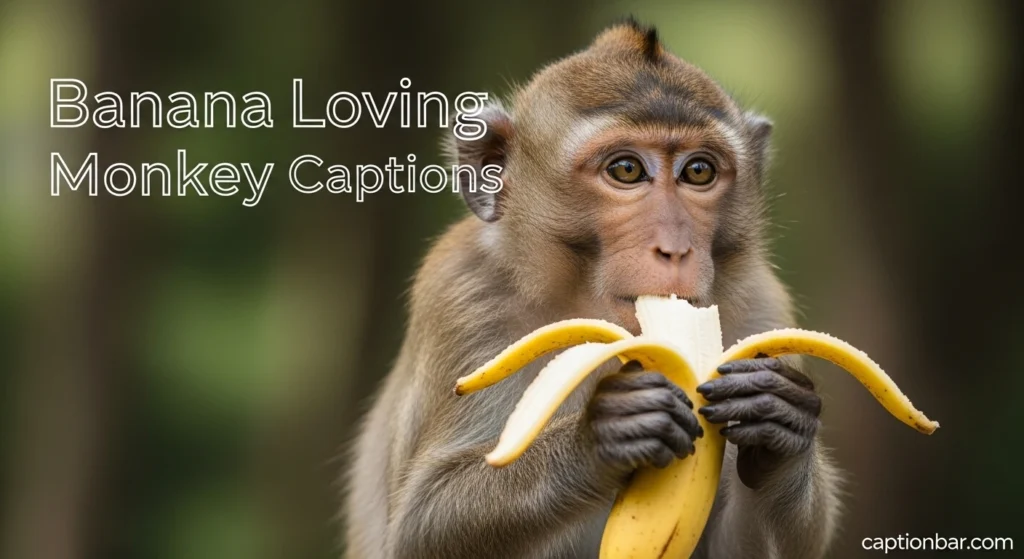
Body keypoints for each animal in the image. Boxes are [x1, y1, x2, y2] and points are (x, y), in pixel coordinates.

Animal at [342, 20, 842, 559]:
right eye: (626, 170)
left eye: (698, 171)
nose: (675, 248)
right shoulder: (461, 297)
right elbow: (418, 527)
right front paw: (600, 434)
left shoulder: (762, 308)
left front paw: (781, 424)